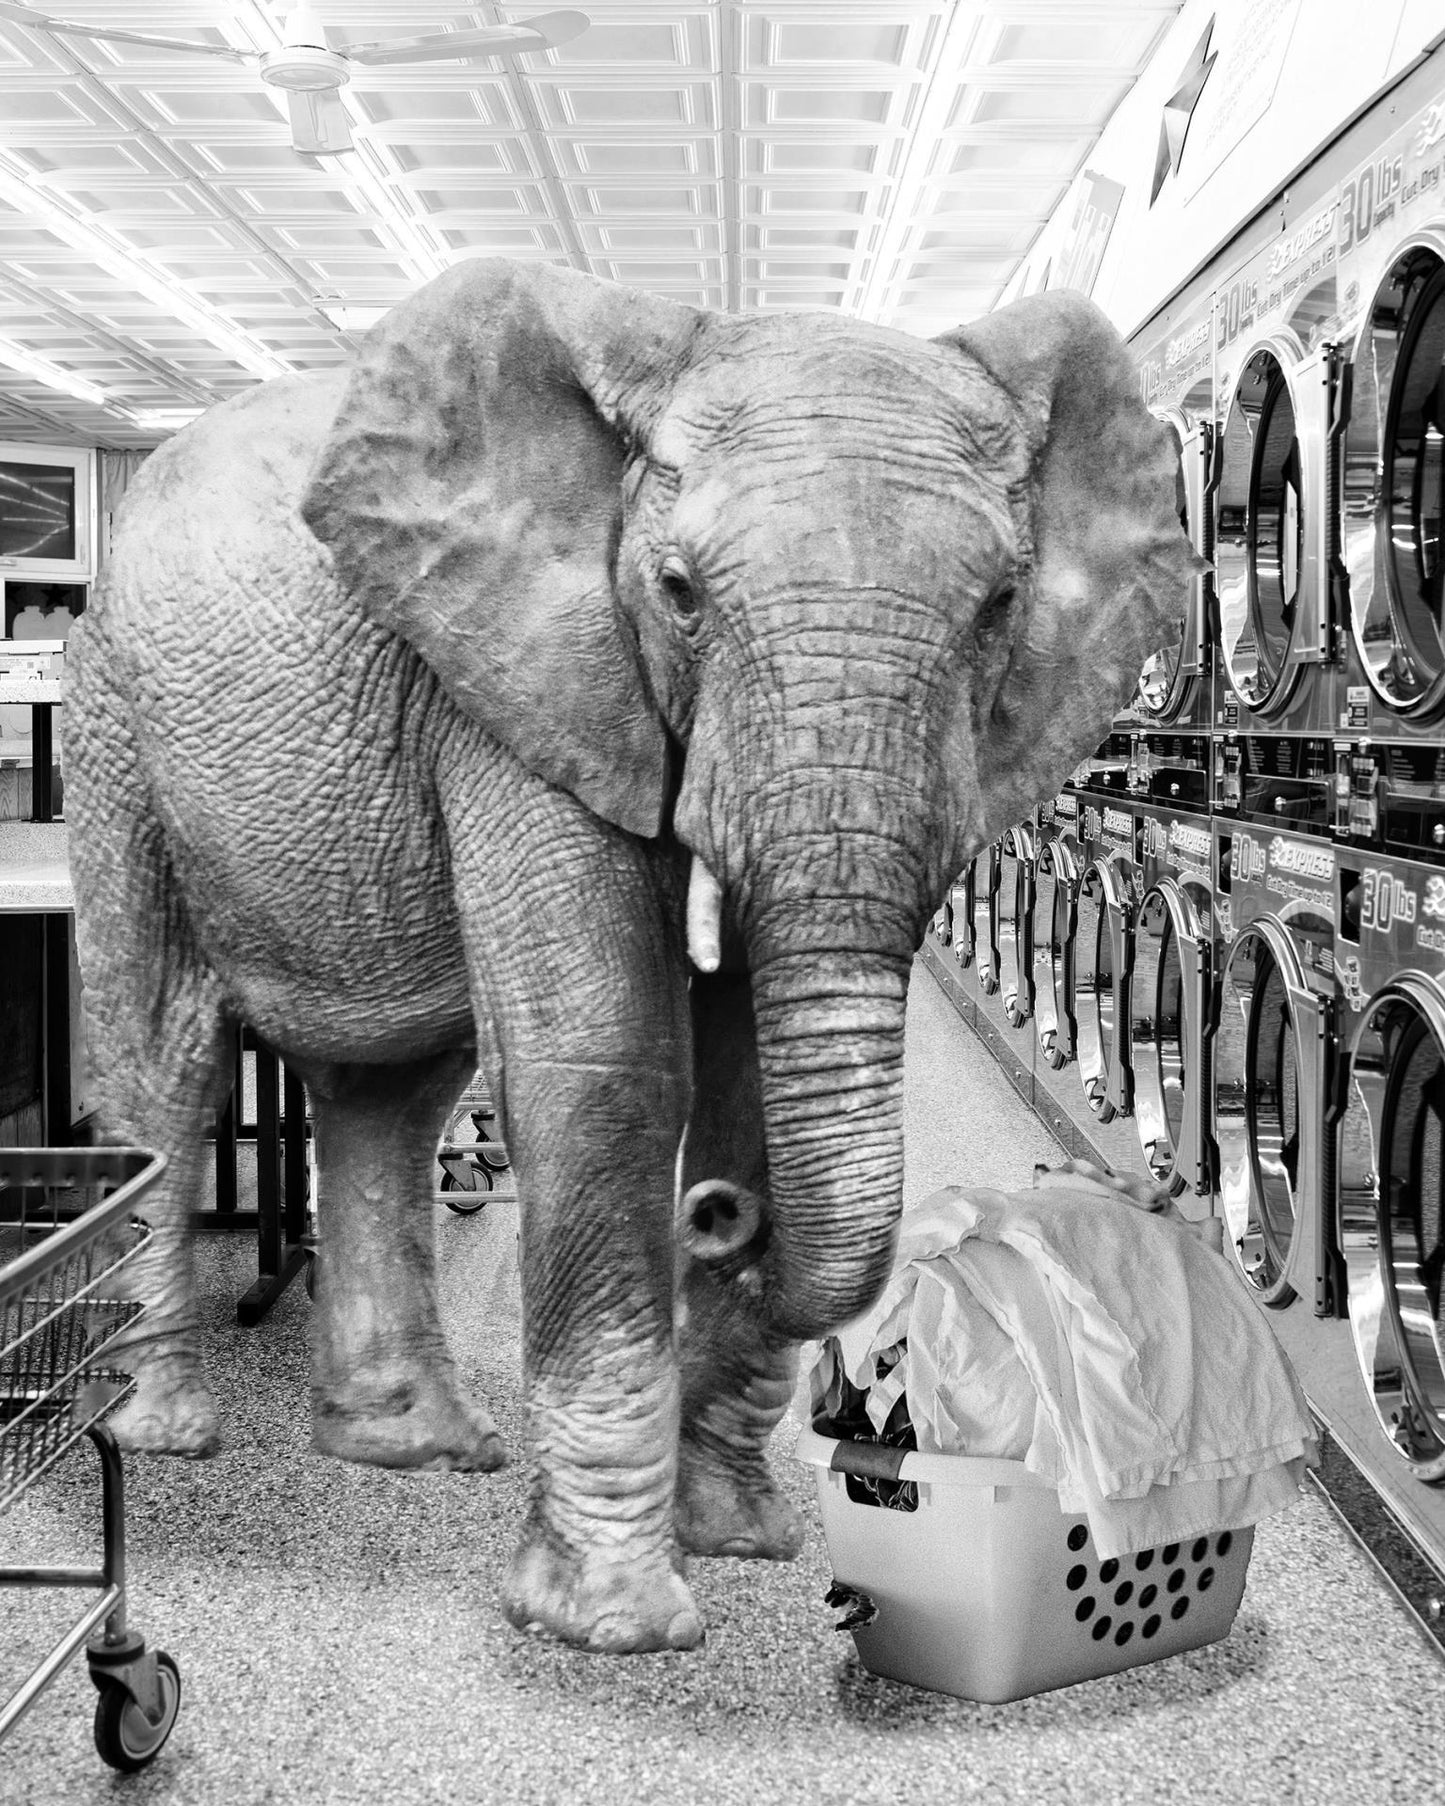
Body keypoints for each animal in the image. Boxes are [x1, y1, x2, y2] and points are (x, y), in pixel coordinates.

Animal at [64, 256, 1200, 1655]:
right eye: (677, 594)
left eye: (997, 605)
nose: (713, 1219)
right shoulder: (521, 684)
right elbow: (605, 1073)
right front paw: (615, 1624)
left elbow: (744, 1079)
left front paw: (741, 1540)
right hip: (114, 731)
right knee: (163, 1066)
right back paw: (163, 1435)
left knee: (390, 1093)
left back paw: (415, 1449)